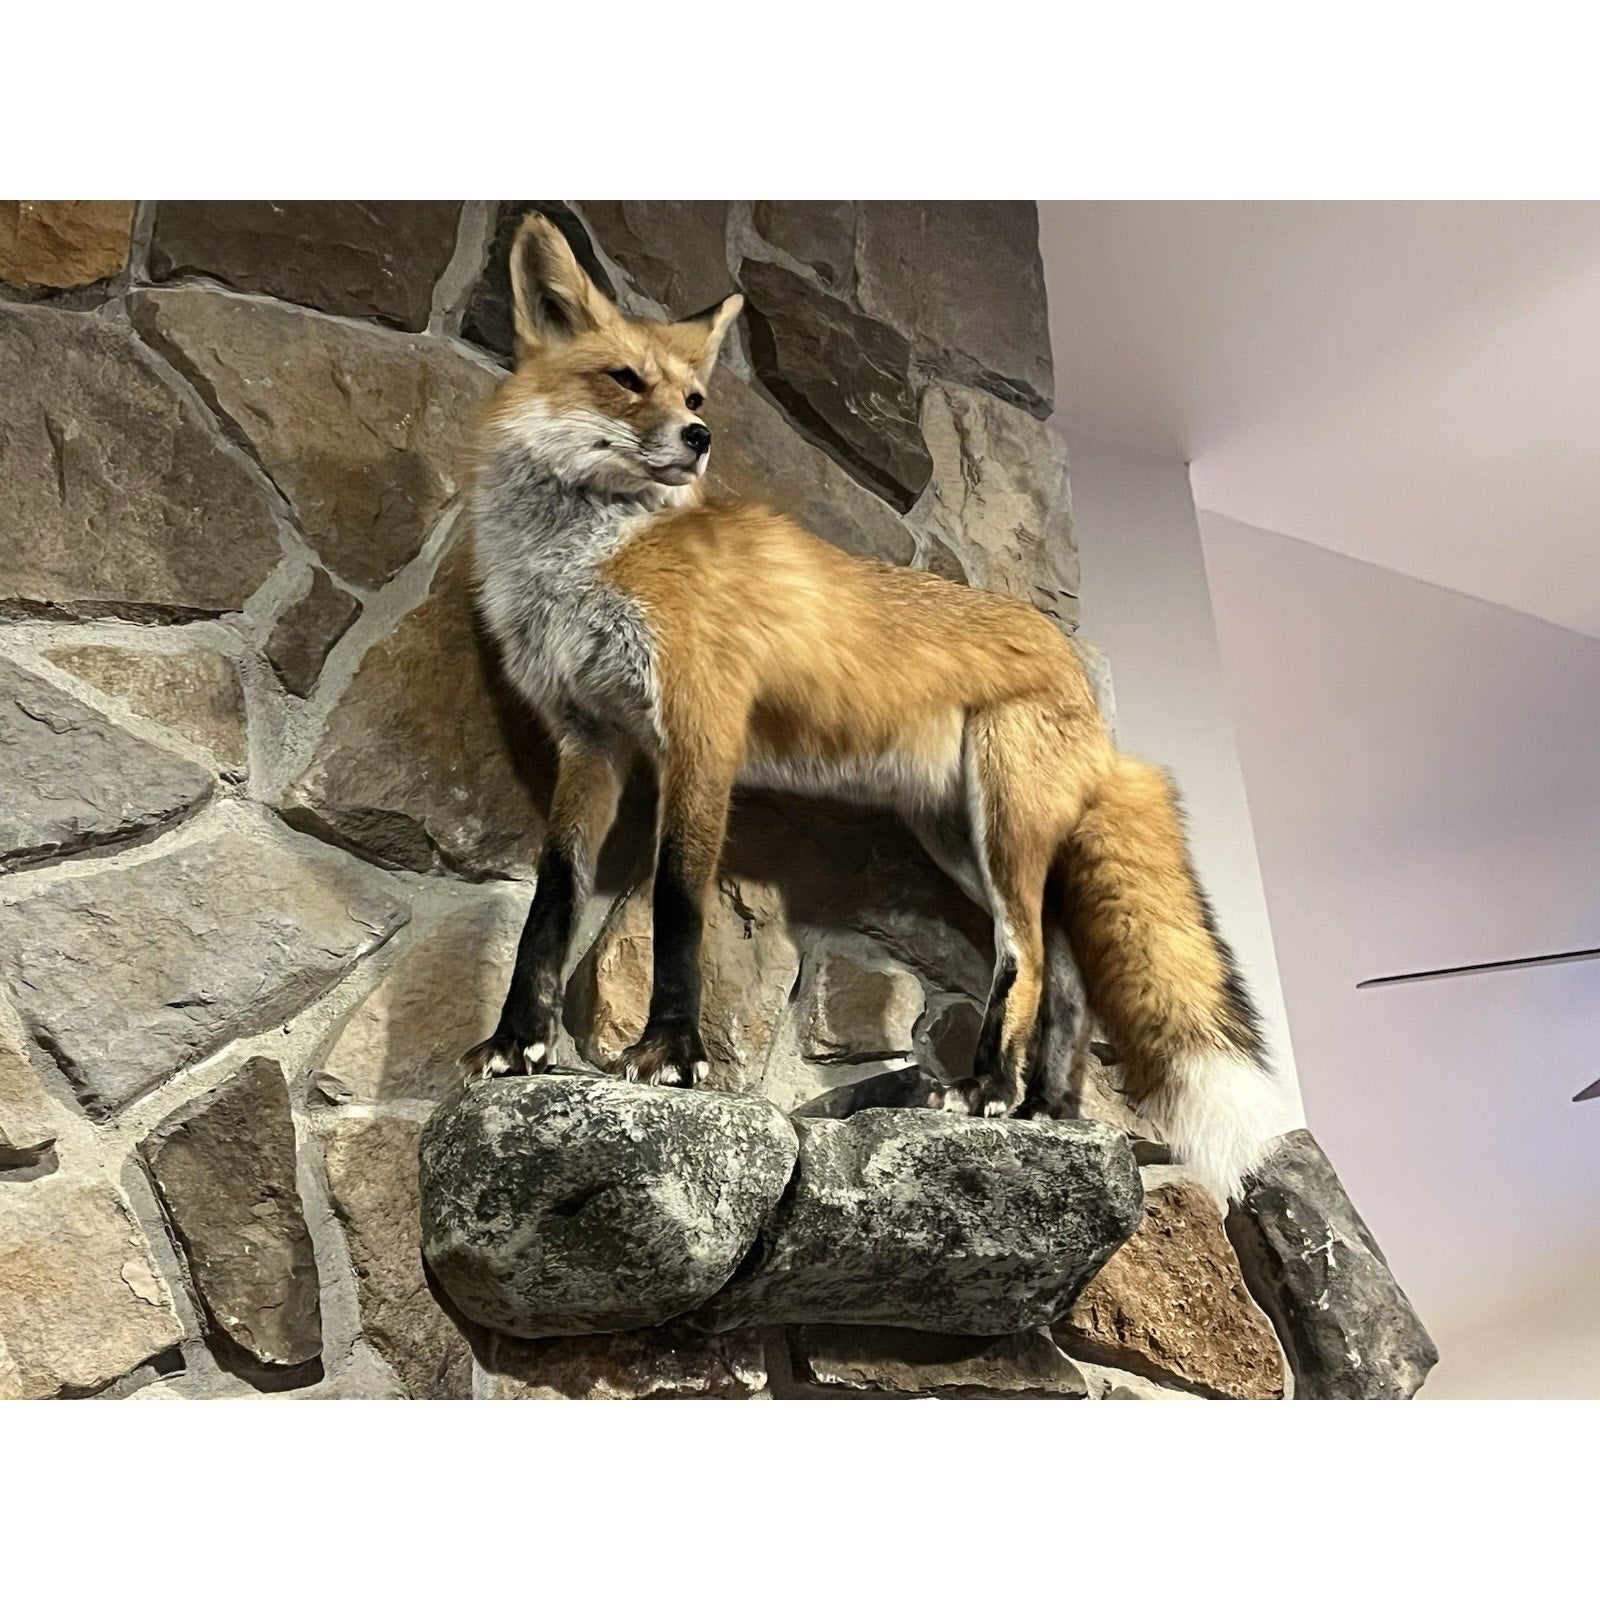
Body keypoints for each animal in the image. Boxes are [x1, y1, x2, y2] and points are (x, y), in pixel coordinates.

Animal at [459, 210, 1290, 1198]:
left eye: (695, 395)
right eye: (626, 379)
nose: (699, 437)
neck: (591, 556)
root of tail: (1083, 677)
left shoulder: (700, 736)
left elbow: (677, 903)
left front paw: (671, 1054)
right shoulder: (589, 742)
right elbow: (550, 905)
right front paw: (515, 1045)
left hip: (1000, 826)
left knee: (1027, 958)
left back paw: (984, 1091)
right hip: (961, 838)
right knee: (1062, 971)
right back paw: (1043, 1107)